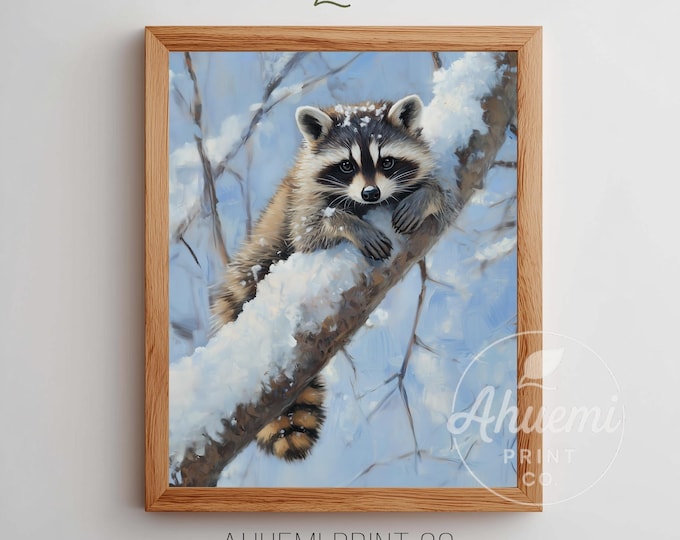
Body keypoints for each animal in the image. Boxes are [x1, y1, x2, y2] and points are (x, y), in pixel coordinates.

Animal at [212, 94, 446, 461]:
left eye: (388, 162)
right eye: (346, 166)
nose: (370, 194)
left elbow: (436, 190)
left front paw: (427, 195)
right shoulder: (303, 198)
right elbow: (311, 231)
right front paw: (347, 223)